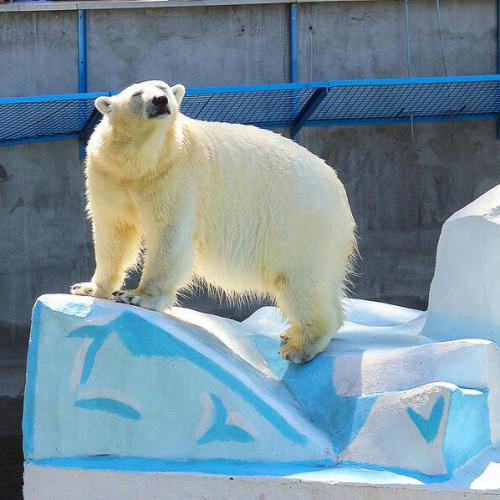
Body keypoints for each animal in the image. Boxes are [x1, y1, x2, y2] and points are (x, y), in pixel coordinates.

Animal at [71, 81, 356, 364]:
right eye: (137, 94)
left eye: (163, 87)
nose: (161, 100)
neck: (141, 161)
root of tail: (339, 191)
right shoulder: (109, 174)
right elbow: (113, 231)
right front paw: (90, 288)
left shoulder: (174, 173)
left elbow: (169, 232)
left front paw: (137, 296)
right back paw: (293, 333)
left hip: (299, 222)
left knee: (300, 280)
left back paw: (300, 345)